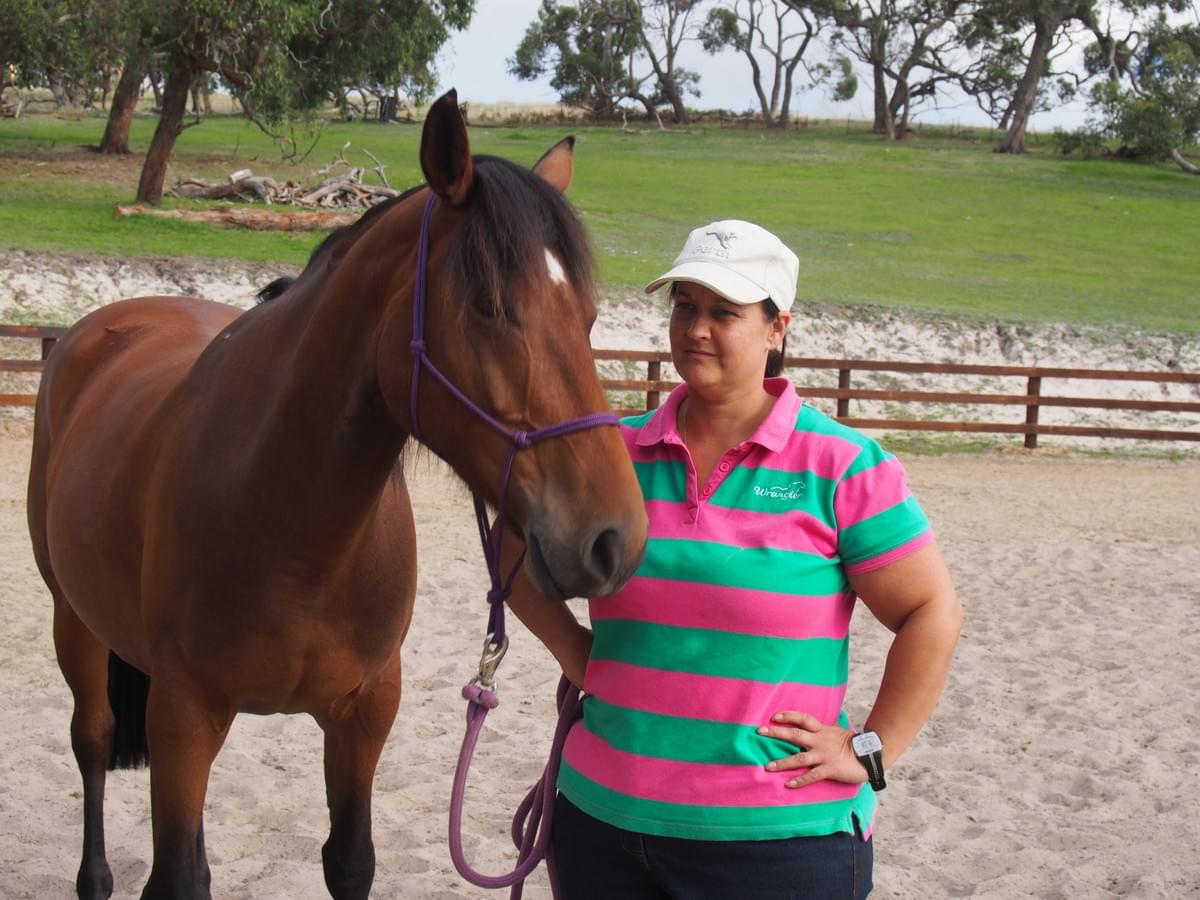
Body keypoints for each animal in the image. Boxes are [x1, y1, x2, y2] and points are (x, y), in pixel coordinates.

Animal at [26, 89, 648, 900]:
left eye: (589, 316)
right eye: (487, 305)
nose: (615, 539)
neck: (293, 527)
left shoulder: (365, 712)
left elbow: (349, 860)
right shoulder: (185, 712)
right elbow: (179, 873)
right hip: (74, 619)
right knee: (93, 741)